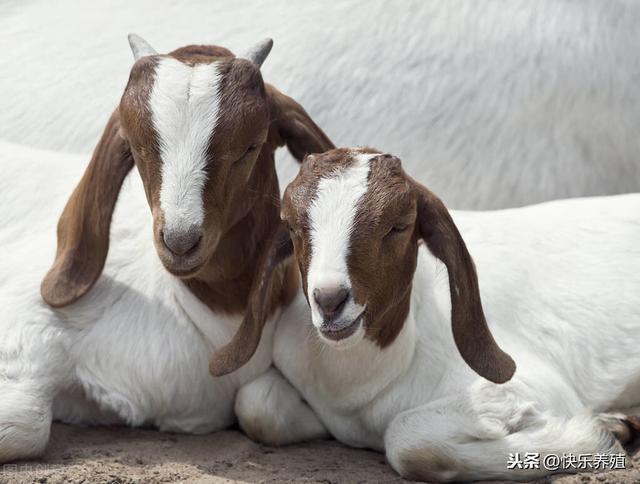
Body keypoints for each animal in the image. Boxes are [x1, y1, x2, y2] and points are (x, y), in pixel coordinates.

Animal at [0, 36, 336, 464]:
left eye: (251, 145)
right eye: (135, 145)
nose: (180, 240)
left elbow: (259, 407)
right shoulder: (22, 323)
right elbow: (24, 424)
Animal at [212, 149, 640, 482]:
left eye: (398, 226)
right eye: (293, 226)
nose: (329, 300)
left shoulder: (532, 387)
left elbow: (409, 442)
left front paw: (599, 434)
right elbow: (255, 405)